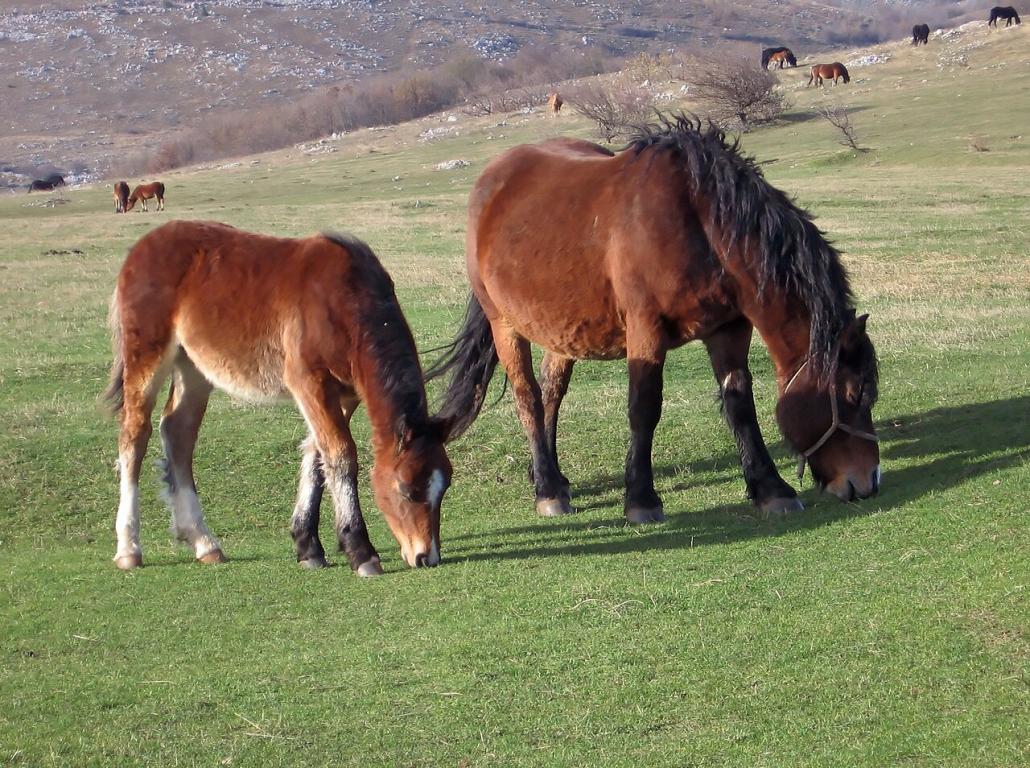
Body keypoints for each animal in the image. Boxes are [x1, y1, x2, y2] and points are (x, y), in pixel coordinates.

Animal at [103, 220, 453, 573]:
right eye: (407, 490)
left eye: (444, 486)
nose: (426, 556)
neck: (342, 302)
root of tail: (143, 246)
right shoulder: (310, 382)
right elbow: (341, 455)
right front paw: (360, 551)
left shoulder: (346, 394)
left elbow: (318, 455)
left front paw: (308, 547)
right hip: (146, 356)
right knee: (135, 435)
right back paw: (129, 548)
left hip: (194, 367)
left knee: (178, 433)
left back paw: (204, 543)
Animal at [426, 115, 880, 525]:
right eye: (856, 394)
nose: (868, 481)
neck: (702, 225)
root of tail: (493, 177)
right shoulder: (646, 329)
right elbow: (644, 408)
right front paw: (641, 499)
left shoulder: (727, 329)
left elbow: (739, 403)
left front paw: (770, 489)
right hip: (505, 325)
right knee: (529, 398)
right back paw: (548, 490)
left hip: (563, 329)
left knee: (553, 393)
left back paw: (552, 474)